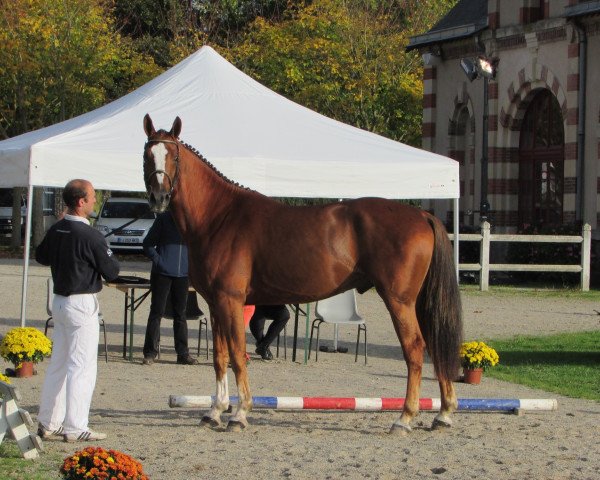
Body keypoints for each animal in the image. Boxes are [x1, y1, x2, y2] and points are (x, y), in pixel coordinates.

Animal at [143, 114, 462, 434]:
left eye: (173, 156)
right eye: (147, 155)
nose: (159, 198)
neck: (219, 217)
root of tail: (421, 215)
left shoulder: (230, 301)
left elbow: (236, 356)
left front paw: (239, 413)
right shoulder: (216, 303)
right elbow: (220, 358)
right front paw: (215, 411)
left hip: (399, 300)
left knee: (415, 349)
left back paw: (405, 418)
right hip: (417, 302)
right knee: (434, 344)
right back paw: (443, 414)